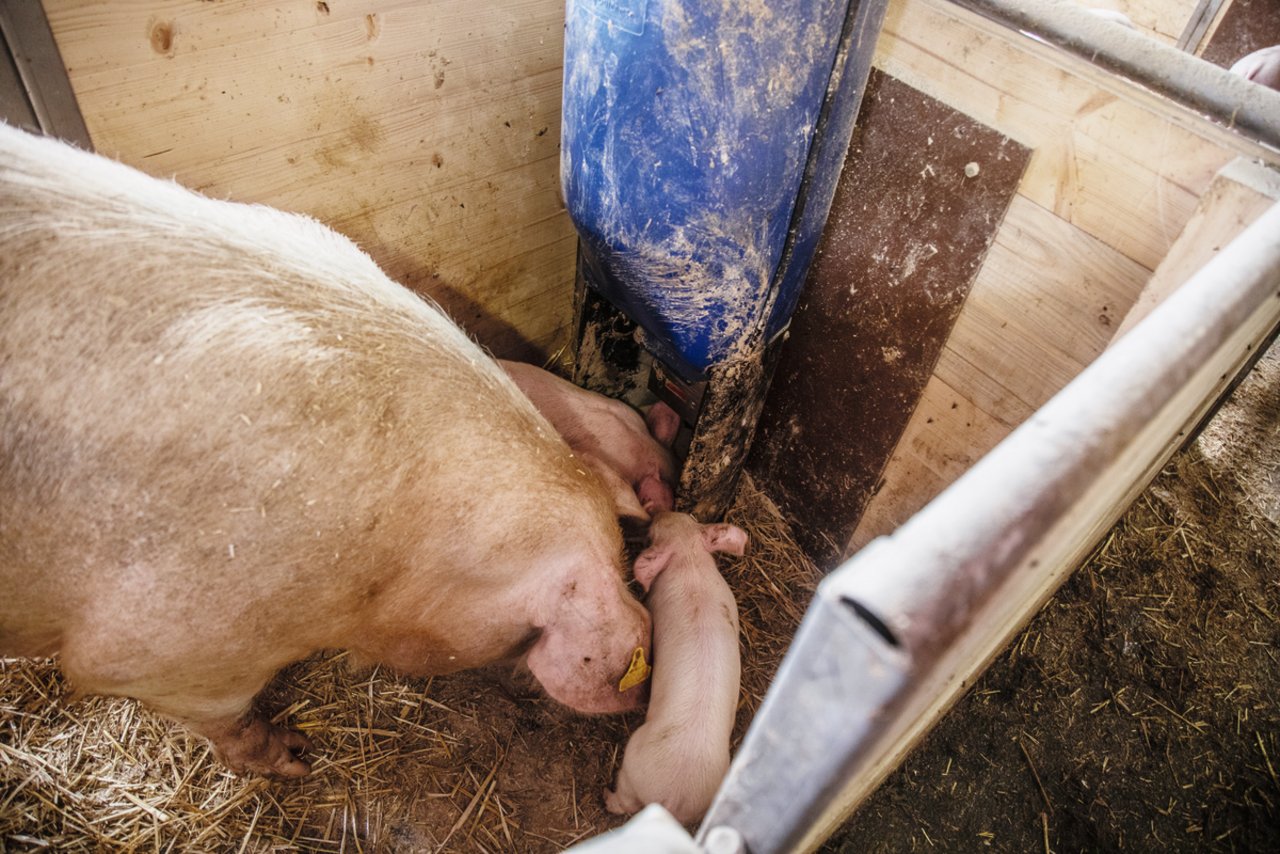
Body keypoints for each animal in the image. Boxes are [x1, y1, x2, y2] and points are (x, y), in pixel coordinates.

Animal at [601, 512, 747, 824]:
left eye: (652, 537)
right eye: (691, 517)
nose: (662, 513)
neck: (690, 561)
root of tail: (672, 797)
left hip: (632, 766)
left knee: (623, 802)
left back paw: (606, 795)